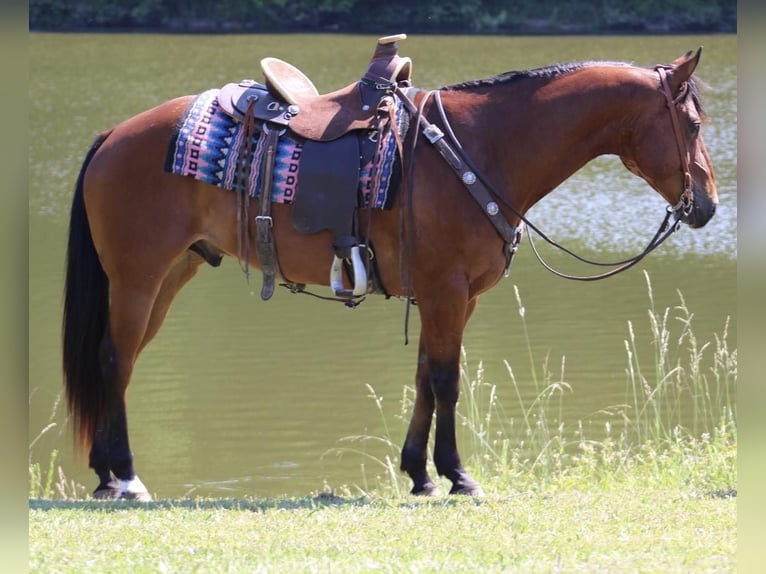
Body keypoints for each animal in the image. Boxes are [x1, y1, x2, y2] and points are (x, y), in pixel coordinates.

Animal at [62, 41, 717, 501]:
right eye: (692, 125)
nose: (707, 205)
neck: (480, 146)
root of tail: (113, 135)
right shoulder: (448, 291)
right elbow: (448, 381)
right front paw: (457, 475)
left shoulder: (451, 297)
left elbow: (426, 377)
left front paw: (420, 474)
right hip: (138, 279)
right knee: (113, 360)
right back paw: (124, 478)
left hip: (170, 276)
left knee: (120, 364)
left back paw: (105, 472)